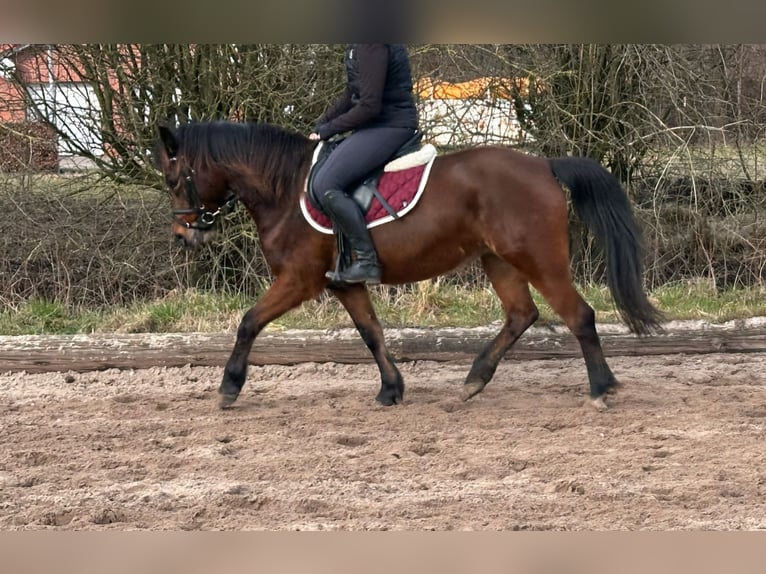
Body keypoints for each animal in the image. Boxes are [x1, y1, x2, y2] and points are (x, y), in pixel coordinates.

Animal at [154, 119, 664, 412]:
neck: (285, 187)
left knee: (579, 315)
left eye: (174, 178)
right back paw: (474, 380)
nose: (183, 235)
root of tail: (543, 165)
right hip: (498, 260)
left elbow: (248, 322)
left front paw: (229, 387)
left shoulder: (299, 279)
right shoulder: (344, 283)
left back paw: (601, 388)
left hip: (538, 258)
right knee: (522, 315)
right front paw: (391, 390)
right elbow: (372, 333)